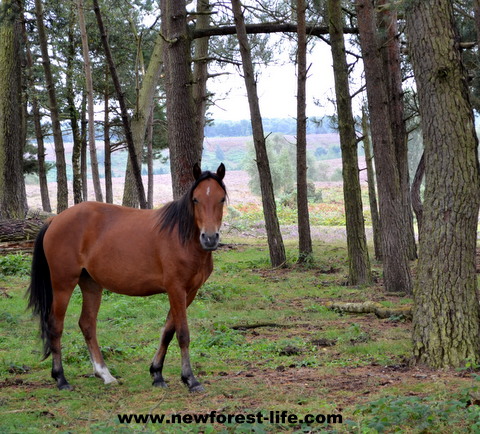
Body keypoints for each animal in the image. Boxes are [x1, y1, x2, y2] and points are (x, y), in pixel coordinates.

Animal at [27, 164, 226, 394]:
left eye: (221, 199)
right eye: (195, 199)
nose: (209, 238)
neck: (182, 237)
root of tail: (55, 220)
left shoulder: (189, 292)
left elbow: (168, 331)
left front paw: (157, 373)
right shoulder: (176, 289)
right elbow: (182, 333)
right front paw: (190, 379)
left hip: (91, 284)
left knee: (87, 324)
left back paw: (104, 374)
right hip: (63, 283)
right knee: (55, 325)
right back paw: (60, 378)